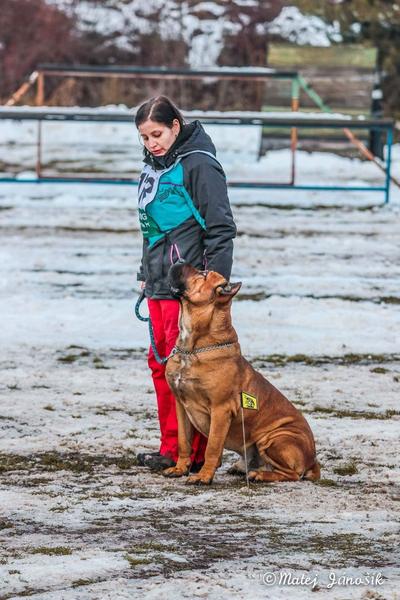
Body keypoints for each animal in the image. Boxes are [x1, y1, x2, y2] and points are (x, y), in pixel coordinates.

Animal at [164, 262, 320, 485]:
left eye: (203, 273)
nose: (178, 260)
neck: (192, 348)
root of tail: (313, 460)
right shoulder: (181, 405)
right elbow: (183, 441)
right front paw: (180, 468)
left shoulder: (221, 410)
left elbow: (212, 447)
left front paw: (203, 476)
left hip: (275, 438)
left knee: (291, 474)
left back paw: (259, 475)